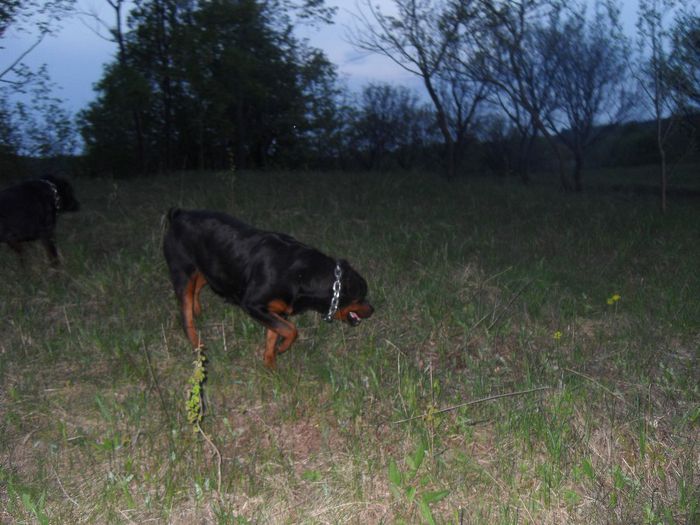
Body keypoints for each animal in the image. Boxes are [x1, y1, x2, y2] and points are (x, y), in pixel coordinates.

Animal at [163, 207, 374, 366]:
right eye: (360, 297)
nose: (372, 309)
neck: (301, 275)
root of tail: (179, 214)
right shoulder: (253, 304)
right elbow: (291, 330)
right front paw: (283, 348)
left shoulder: (276, 310)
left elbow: (275, 335)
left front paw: (271, 367)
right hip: (183, 273)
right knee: (186, 313)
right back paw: (196, 342)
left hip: (209, 269)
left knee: (198, 287)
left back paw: (197, 310)